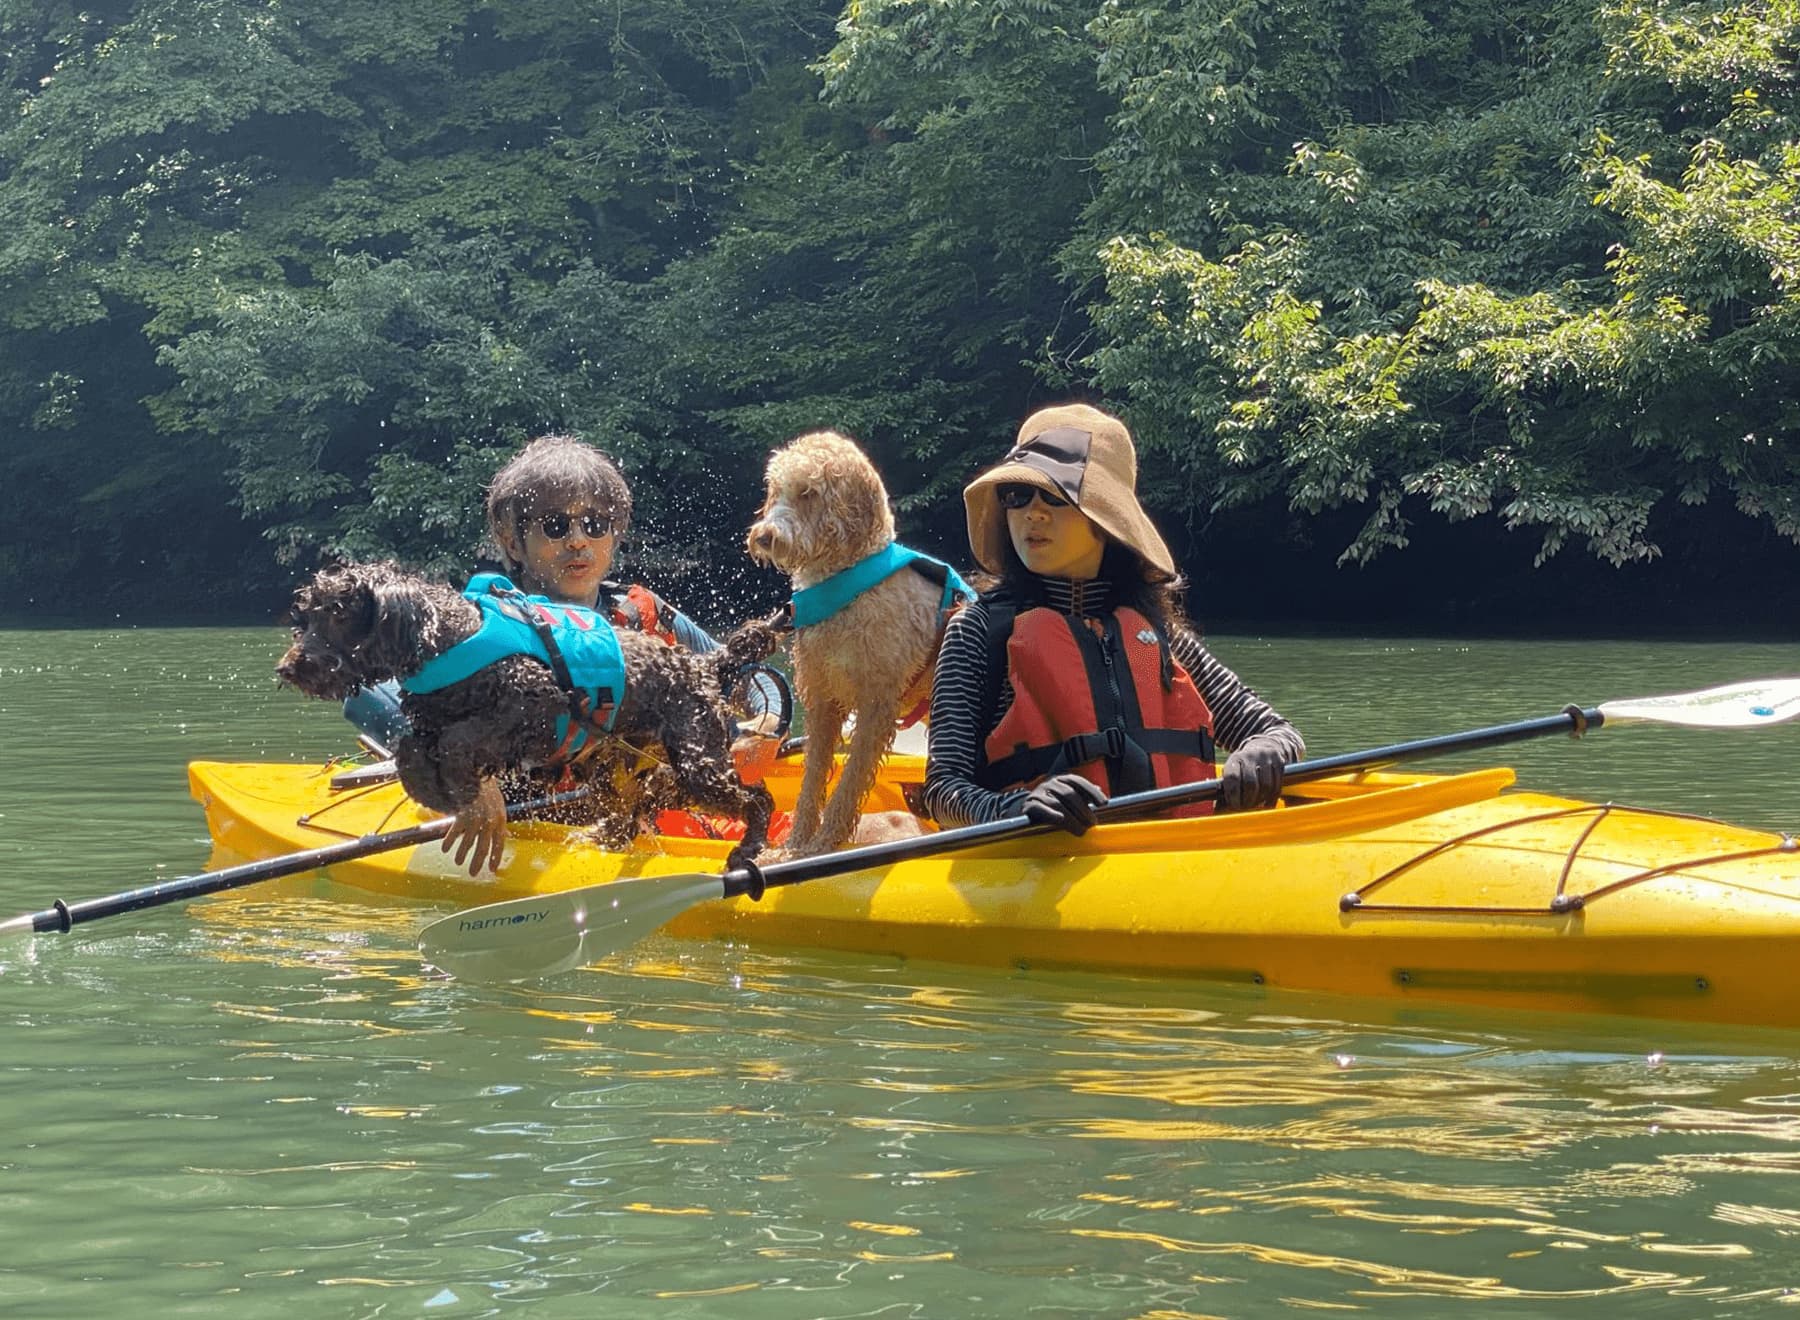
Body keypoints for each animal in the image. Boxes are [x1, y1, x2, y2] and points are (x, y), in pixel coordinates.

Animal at [277, 561, 777, 871]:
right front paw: (439, 790)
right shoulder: (430, 719)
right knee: (647, 801)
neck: (449, 636)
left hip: (696, 758)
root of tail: (705, 665)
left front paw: (463, 788)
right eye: (307, 616)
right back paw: (608, 834)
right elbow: (411, 749)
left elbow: (458, 742)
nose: (287, 668)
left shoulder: (535, 702)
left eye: (338, 613)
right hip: (624, 765)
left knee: (756, 800)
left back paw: (748, 848)